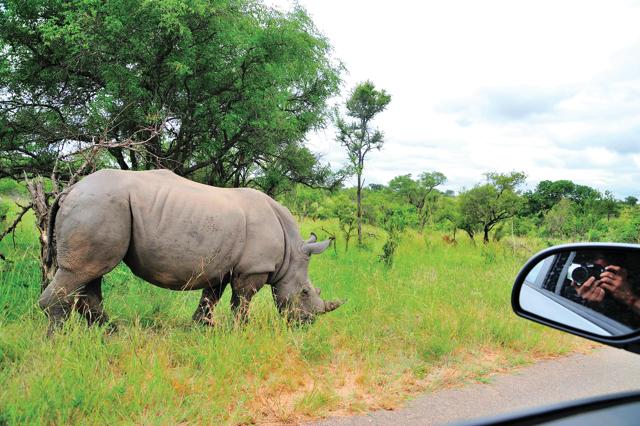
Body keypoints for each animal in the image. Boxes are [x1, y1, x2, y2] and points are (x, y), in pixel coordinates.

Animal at [39, 169, 343, 332]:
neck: (292, 251)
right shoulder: (252, 269)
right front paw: (240, 332)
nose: (305, 324)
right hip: (96, 206)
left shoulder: (222, 265)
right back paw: (58, 344)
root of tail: (69, 190)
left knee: (90, 274)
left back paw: (110, 334)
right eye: (305, 293)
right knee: (82, 272)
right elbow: (241, 302)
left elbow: (210, 298)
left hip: (96, 207)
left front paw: (202, 328)